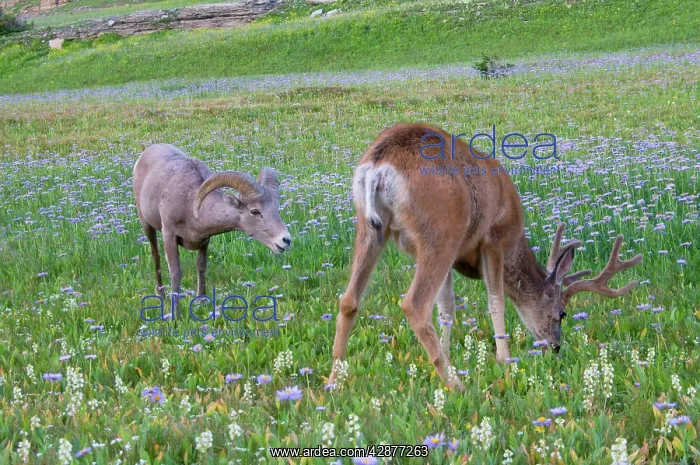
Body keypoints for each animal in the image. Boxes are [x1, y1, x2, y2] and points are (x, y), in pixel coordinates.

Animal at [328, 123, 642, 390]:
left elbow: (447, 308)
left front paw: (449, 351)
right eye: (562, 313)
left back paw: (334, 381)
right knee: (414, 305)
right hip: (441, 230)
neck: (516, 242)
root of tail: (377, 167)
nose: (555, 347)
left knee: (348, 300)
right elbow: (496, 301)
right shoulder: (494, 239)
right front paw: (504, 360)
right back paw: (455, 384)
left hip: (370, 227)